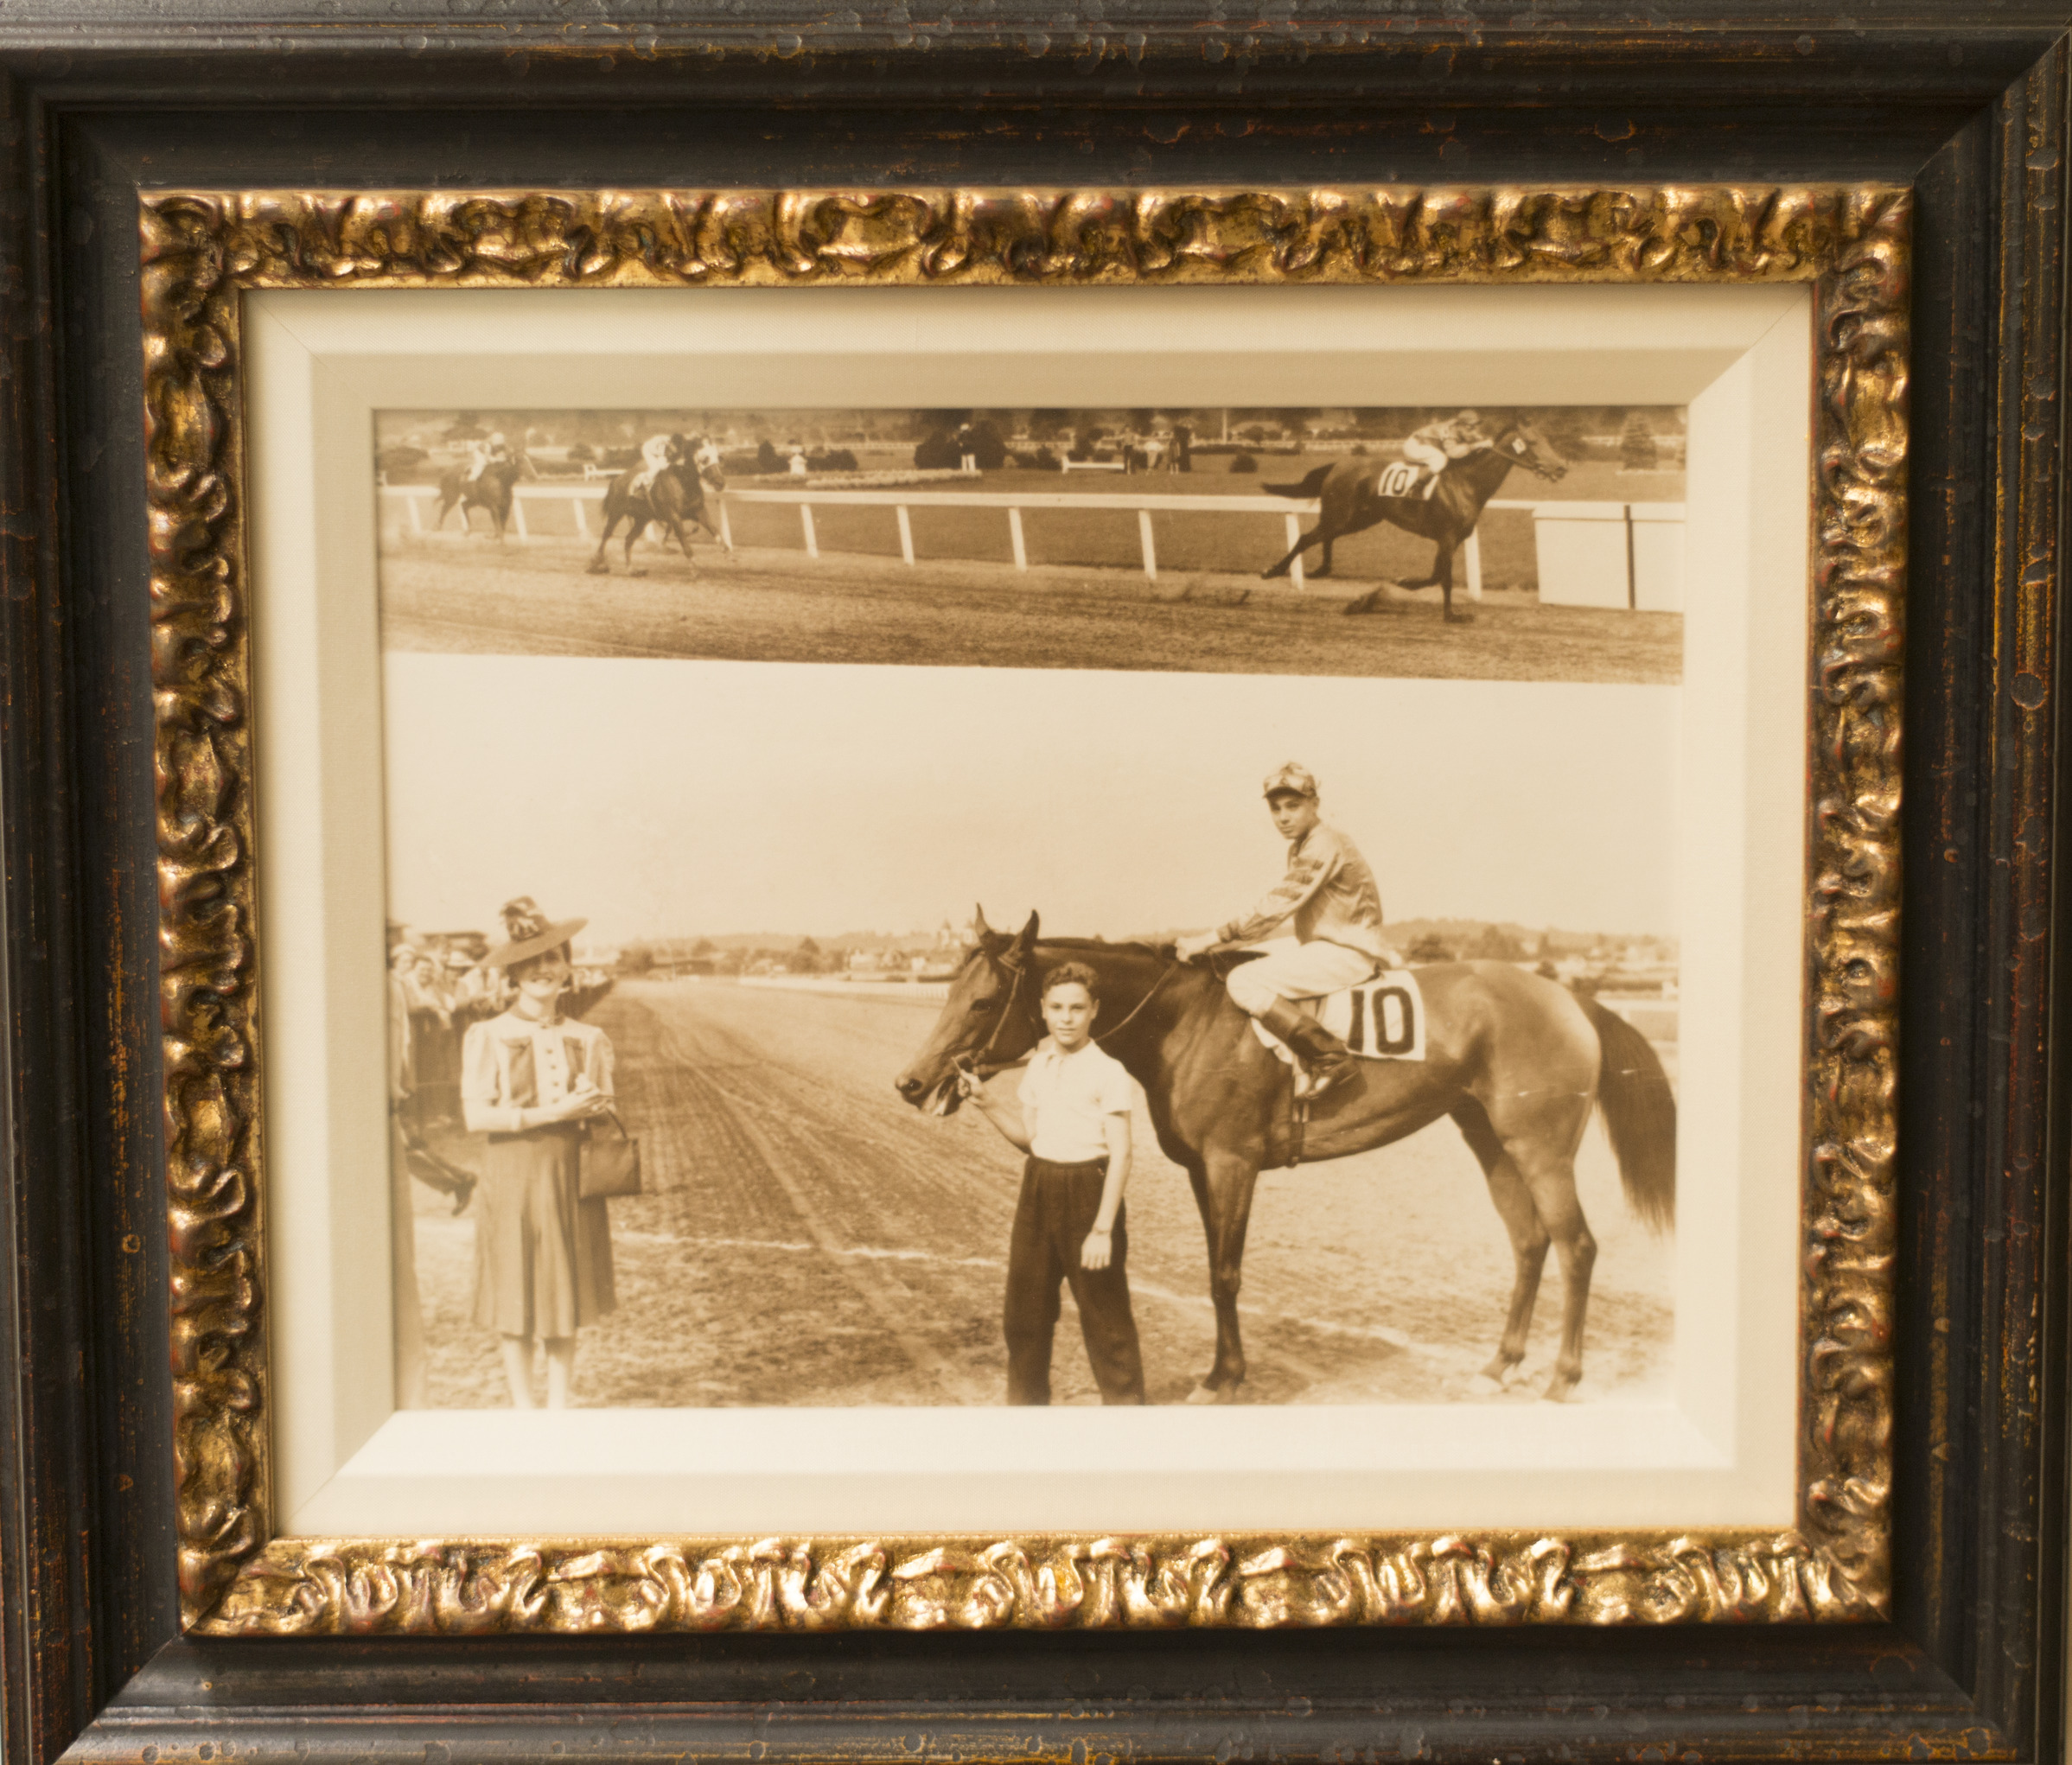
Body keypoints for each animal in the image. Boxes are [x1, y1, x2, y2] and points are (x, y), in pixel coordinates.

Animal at [588, 435, 733, 580]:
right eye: (705, 459)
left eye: (718, 458)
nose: (720, 483)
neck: (683, 481)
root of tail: (617, 479)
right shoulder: (674, 516)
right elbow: (684, 542)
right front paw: (694, 570)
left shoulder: (699, 511)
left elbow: (714, 531)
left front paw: (727, 553)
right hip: (616, 513)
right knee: (606, 535)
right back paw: (597, 563)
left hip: (641, 520)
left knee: (628, 540)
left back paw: (632, 570)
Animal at [899, 915, 1674, 1400]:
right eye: (947, 988)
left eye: (983, 1001)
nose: (911, 1082)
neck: (1185, 1022)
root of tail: (1570, 997)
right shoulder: (1200, 1169)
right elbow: (1215, 1269)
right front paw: (1222, 1371)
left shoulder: (1231, 1162)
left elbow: (1225, 1275)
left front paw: (1223, 1379)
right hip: (1488, 1138)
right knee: (1530, 1242)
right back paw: (1499, 1365)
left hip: (1540, 1146)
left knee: (1576, 1245)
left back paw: (1562, 1378)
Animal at [1259, 418, 1566, 625]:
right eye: (1534, 443)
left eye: (1547, 439)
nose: (1562, 467)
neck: (1467, 484)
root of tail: (1338, 464)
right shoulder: (1447, 537)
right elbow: (1443, 578)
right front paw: (1447, 612)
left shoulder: (1453, 539)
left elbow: (1437, 575)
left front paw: (1403, 587)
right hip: (1342, 514)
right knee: (1306, 538)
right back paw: (1272, 571)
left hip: (1359, 518)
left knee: (1325, 537)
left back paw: (1321, 570)